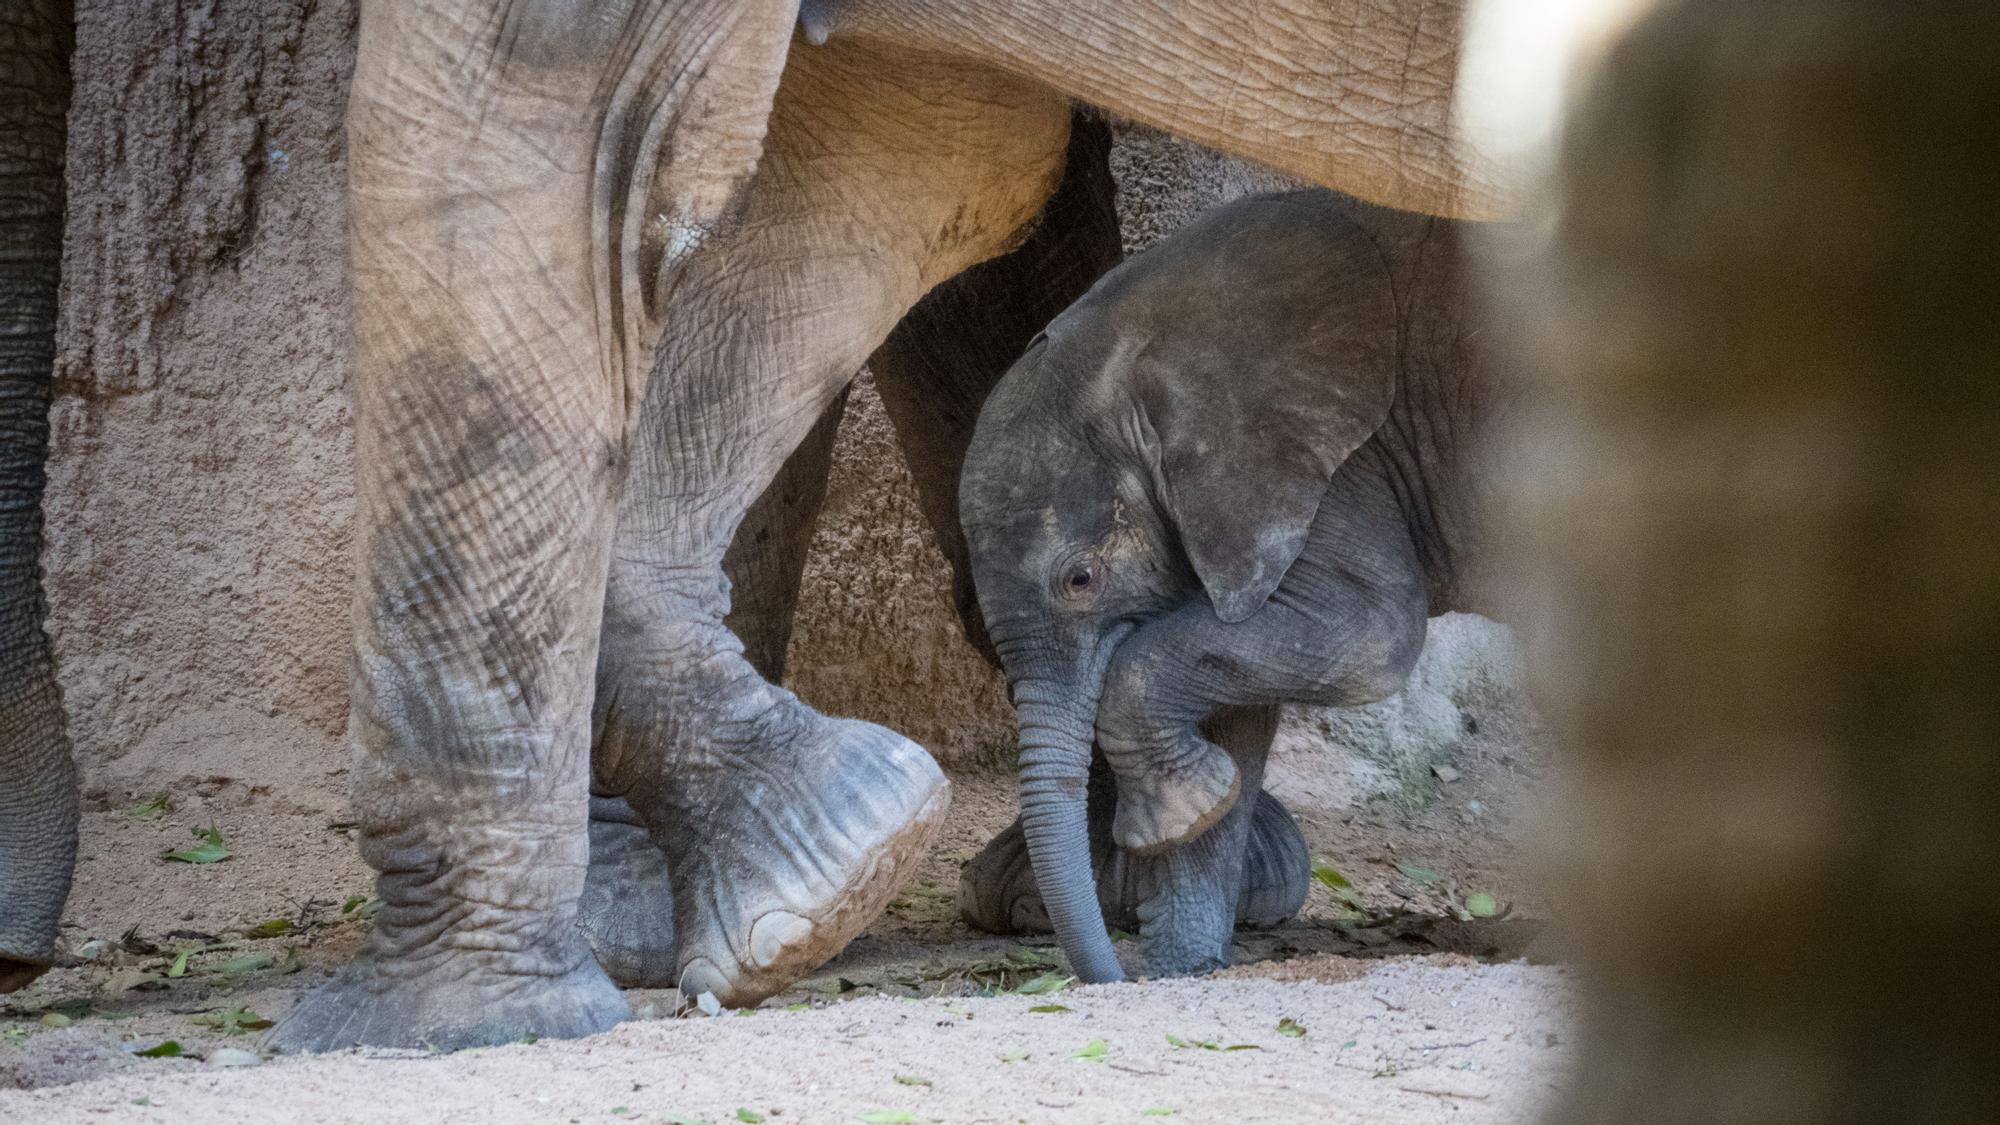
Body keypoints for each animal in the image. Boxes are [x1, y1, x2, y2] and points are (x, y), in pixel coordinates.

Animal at [956, 188, 1504, 976]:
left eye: (1080, 579)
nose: (1110, 976)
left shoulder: (1336, 462)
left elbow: (1367, 634)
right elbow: (1235, 705)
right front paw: (1181, 964)